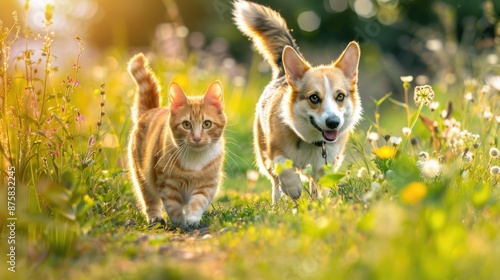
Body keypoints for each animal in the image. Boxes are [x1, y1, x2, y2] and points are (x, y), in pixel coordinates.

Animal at [127, 53, 227, 229]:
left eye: (207, 124)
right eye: (186, 124)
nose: (196, 138)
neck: (194, 162)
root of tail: (151, 110)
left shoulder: (206, 185)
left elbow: (197, 203)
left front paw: (192, 219)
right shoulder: (167, 185)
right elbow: (173, 207)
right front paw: (180, 222)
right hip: (143, 178)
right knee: (150, 201)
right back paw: (156, 218)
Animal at [232, 0, 362, 203]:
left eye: (340, 96)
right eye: (314, 97)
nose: (333, 123)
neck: (313, 142)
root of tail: (281, 74)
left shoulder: (327, 165)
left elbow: (321, 185)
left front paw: (320, 202)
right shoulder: (274, 152)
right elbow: (284, 166)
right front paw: (293, 188)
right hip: (263, 154)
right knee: (275, 184)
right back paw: (278, 204)